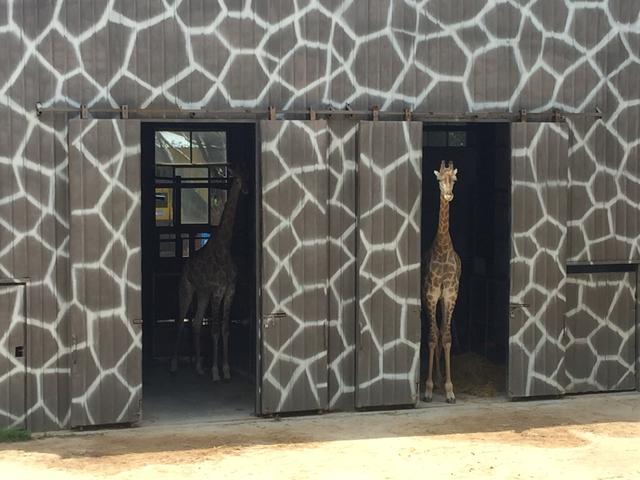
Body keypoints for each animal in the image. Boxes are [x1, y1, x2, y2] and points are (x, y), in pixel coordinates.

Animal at [170, 167, 248, 380]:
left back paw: (198, 366)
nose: (247, 190)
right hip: (186, 289)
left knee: (196, 323)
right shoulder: (218, 291)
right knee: (180, 322)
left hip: (203, 293)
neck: (224, 247)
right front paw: (215, 372)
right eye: (239, 176)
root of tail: (186, 264)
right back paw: (175, 365)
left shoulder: (230, 291)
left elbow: (225, 329)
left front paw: (226, 370)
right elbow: (214, 330)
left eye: (247, 174)